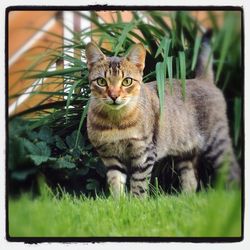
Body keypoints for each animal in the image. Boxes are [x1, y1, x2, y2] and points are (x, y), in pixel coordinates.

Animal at [85, 31, 240, 197]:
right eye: (101, 81)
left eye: (127, 81)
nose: (114, 96)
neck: (116, 122)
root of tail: (203, 80)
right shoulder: (110, 158)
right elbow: (115, 185)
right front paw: (118, 202)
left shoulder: (144, 154)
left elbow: (138, 185)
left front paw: (136, 202)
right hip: (185, 152)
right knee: (191, 180)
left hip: (217, 142)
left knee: (233, 170)